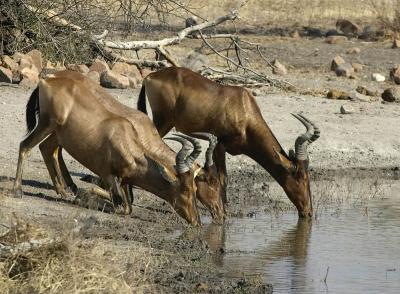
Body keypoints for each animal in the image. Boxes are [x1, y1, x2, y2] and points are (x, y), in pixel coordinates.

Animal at [12, 70, 209, 225]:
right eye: (185, 189)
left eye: (195, 189)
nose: (197, 221)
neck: (125, 138)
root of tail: (45, 81)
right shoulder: (107, 175)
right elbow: (119, 204)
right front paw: (83, 195)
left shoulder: (124, 182)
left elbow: (128, 206)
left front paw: (81, 195)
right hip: (46, 125)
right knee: (25, 146)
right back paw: (18, 190)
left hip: (58, 134)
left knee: (46, 149)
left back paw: (63, 191)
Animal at [137, 67, 318, 218]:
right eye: (300, 176)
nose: (308, 212)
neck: (243, 107)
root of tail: (150, 76)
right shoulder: (220, 145)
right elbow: (223, 178)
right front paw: (225, 211)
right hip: (163, 120)